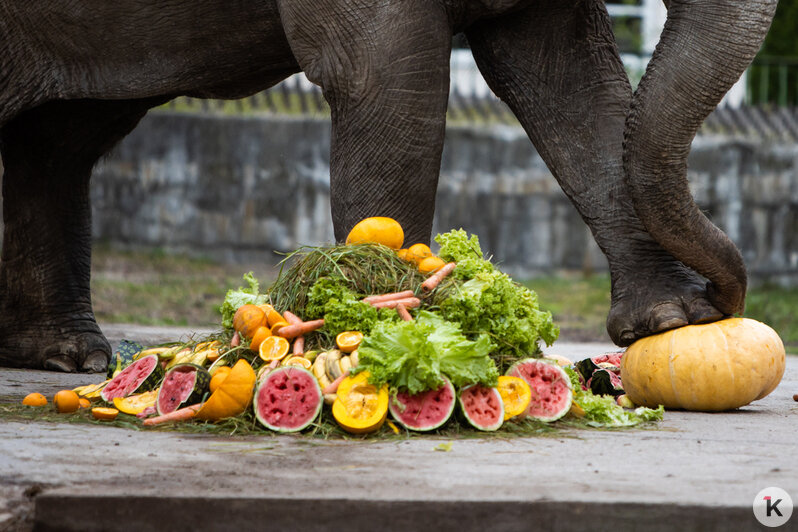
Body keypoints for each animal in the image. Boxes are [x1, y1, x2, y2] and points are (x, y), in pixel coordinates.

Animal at [0, 0, 780, 370]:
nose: (723, 301)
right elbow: (390, 83)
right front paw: (394, 337)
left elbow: (570, 80)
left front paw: (671, 323)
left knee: (55, 142)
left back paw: (69, 357)